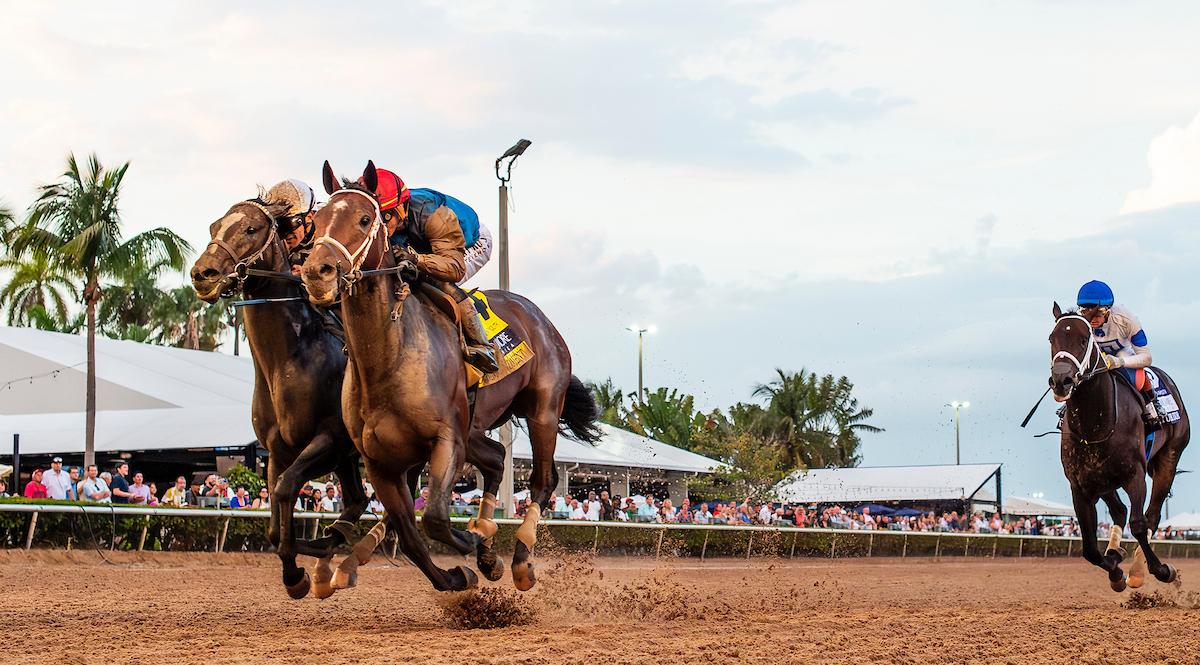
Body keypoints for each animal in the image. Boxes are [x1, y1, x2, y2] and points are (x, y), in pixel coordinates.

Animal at [190, 196, 381, 600]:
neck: (291, 358)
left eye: (251, 228)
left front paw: (298, 573)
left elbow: (285, 491)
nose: (203, 273)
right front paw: (304, 566)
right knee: (358, 499)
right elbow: (275, 523)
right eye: (214, 226)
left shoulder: (329, 439)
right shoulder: (278, 450)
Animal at [301, 160, 600, 592]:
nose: (317, 272)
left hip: (542, 408)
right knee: (497, 459)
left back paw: (521, 558)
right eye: (318, 220)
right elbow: (411, 534)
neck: (389, 359)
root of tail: (540, 318)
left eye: (364, 219)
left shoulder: (446, 440)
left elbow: (436, 520)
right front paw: (461, 571)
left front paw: (476, 542)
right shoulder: (380, 461)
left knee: (543, 481)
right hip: (476, 425)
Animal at [1048, 302, 1190, 590]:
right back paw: (1115, 553)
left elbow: (1139, 524)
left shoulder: (1134, 474)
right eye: (1051, 338)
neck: (1095, 422)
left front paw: (1158, 570)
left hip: (1169, 458)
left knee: (1151, 515)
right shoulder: (1080, 485)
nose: (1061, 380)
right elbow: (1090, 550)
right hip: (1102, 479)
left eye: (1084, 339)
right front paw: (1115, 571)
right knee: (1120, 510)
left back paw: (1139, 568)